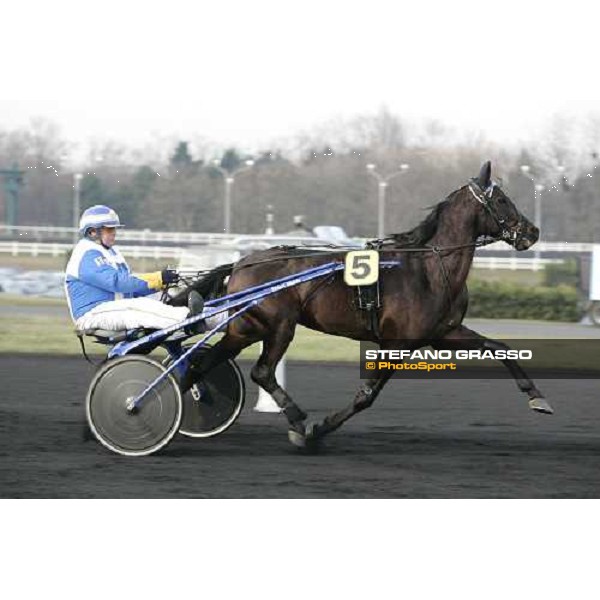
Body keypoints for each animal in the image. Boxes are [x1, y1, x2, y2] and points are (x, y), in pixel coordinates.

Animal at [172, 162, 548, 448]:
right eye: (502, 200)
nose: (533, 232)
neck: (430, 268)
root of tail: (240, 264)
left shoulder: (445, 334)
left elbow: (500, 347)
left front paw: (537, 397)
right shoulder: (396, 343)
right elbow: (366, 395)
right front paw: (316, 431)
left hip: (245, 328)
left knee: (202, 364)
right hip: (278, 325)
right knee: (261, 371)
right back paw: (295, 418)